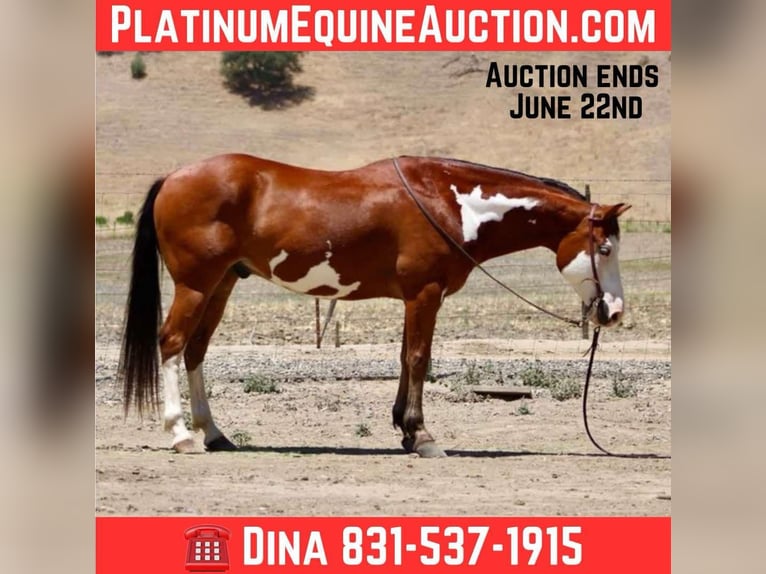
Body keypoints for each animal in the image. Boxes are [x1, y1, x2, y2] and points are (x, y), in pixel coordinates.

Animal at [118, 154, 630, 457]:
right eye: (605, 248)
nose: (615, 311)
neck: (447, 201)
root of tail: (173, 177)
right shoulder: (425, 294)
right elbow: (420, 358)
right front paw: (422, 436)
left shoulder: (414, 297)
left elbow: (405, 358)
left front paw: (404, 429)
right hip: (195, 285)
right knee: (172, 343)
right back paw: (181, 434)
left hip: (221, 284)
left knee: (195, 351)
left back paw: (214, 433)